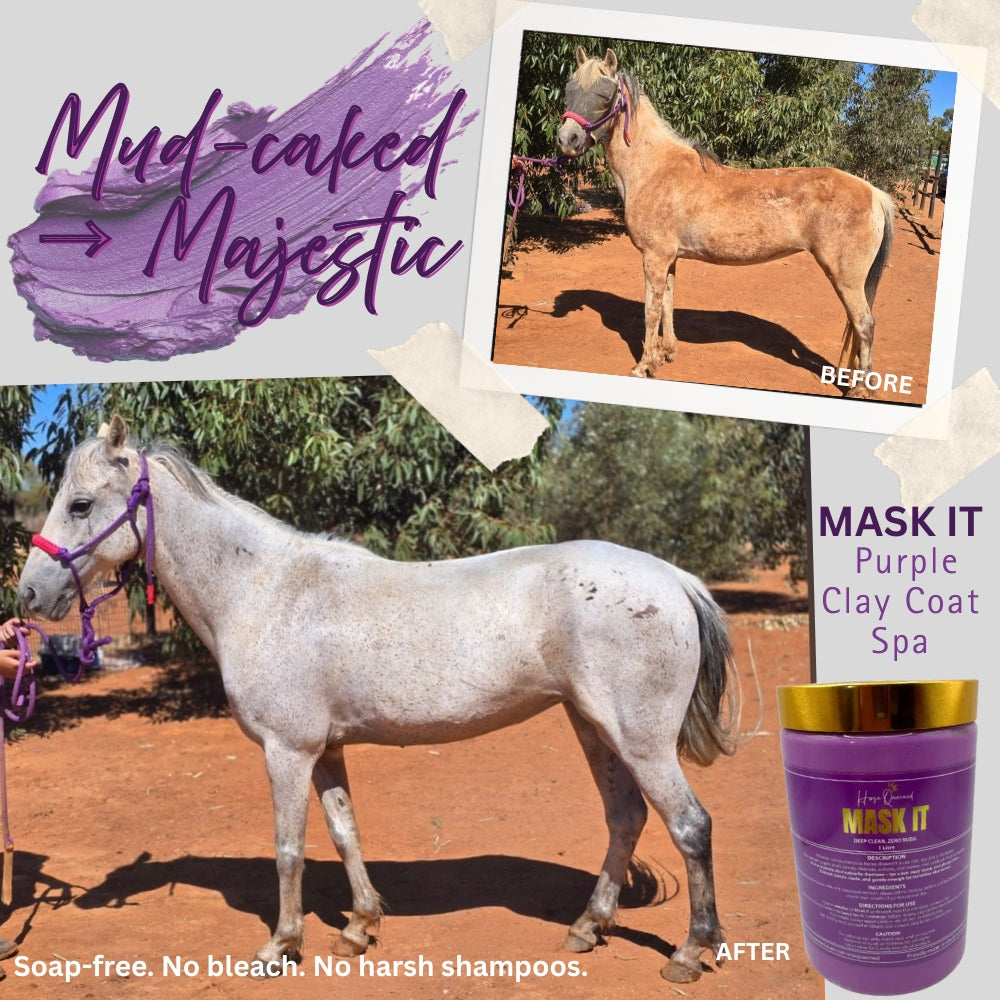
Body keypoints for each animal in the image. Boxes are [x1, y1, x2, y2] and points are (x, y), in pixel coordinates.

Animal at [18, 415, 738, 985]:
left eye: (79, 504)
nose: (27, 595)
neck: (264, 590)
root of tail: (673, 578)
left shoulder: (287, 750)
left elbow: (289, 847)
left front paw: (281, 946)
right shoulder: (326, 750)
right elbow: (345, 833)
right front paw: (359, 928)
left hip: (640, 739)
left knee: (691, 825)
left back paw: (690, 952)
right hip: (594, 727)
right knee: (626, 819)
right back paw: (588, 928)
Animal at [557, 48, 896, 397]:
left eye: (604, 95)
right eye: (569, 89)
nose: (567, 139)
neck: (654, 169)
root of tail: (874, 193)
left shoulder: (654, 257)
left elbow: (650, 310)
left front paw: (643, 366)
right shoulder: (669, 259)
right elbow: (667, 304)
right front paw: (667, 353)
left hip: (846, 277)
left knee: (865, 324)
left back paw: (861, 389)